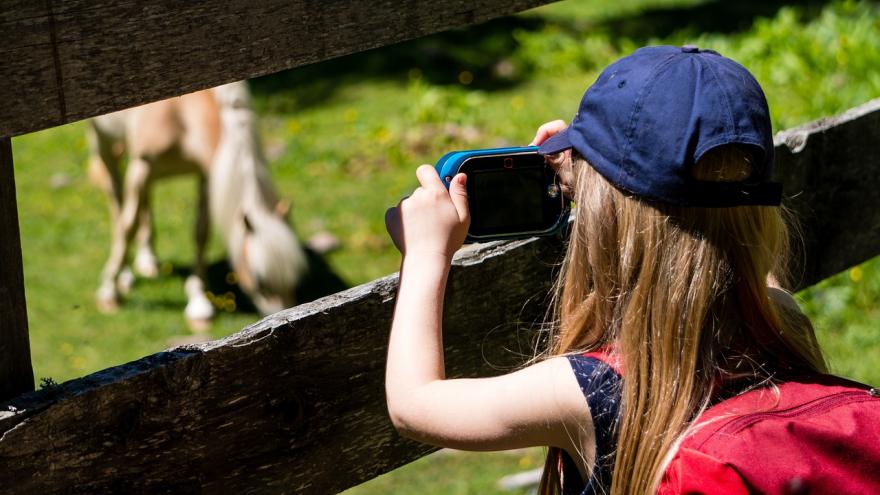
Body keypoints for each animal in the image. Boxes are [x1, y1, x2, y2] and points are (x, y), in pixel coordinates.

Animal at [87, 81, 310, 330]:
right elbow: (127, 227)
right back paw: (125, 275)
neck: (179, 110)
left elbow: (201, 233)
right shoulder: (141, 167)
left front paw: (198, 303)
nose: (286, 320)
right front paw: (109, 291)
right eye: (260, 280)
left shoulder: (205, 175)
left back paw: (148, 259)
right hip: (104, 143)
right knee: (117, 199)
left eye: (295, 278)